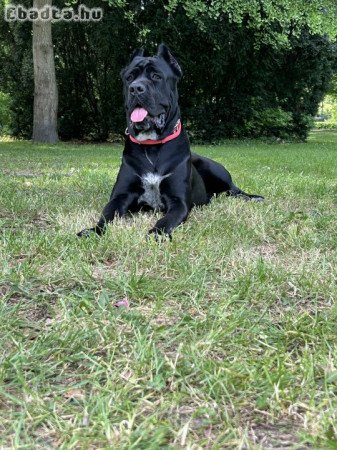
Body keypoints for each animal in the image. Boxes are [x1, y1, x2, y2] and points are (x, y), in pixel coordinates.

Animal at [78, 44, 262, 241]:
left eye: (156, 76)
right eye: (129, 77)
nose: (135, 88)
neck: (152, 147)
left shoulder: (178, 201)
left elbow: (167, 219)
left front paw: (157, 233)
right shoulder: (121, 196)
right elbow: (106, 214)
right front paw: (94, 231)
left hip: (216, 170)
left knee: (234, 190)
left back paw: (253, 197)